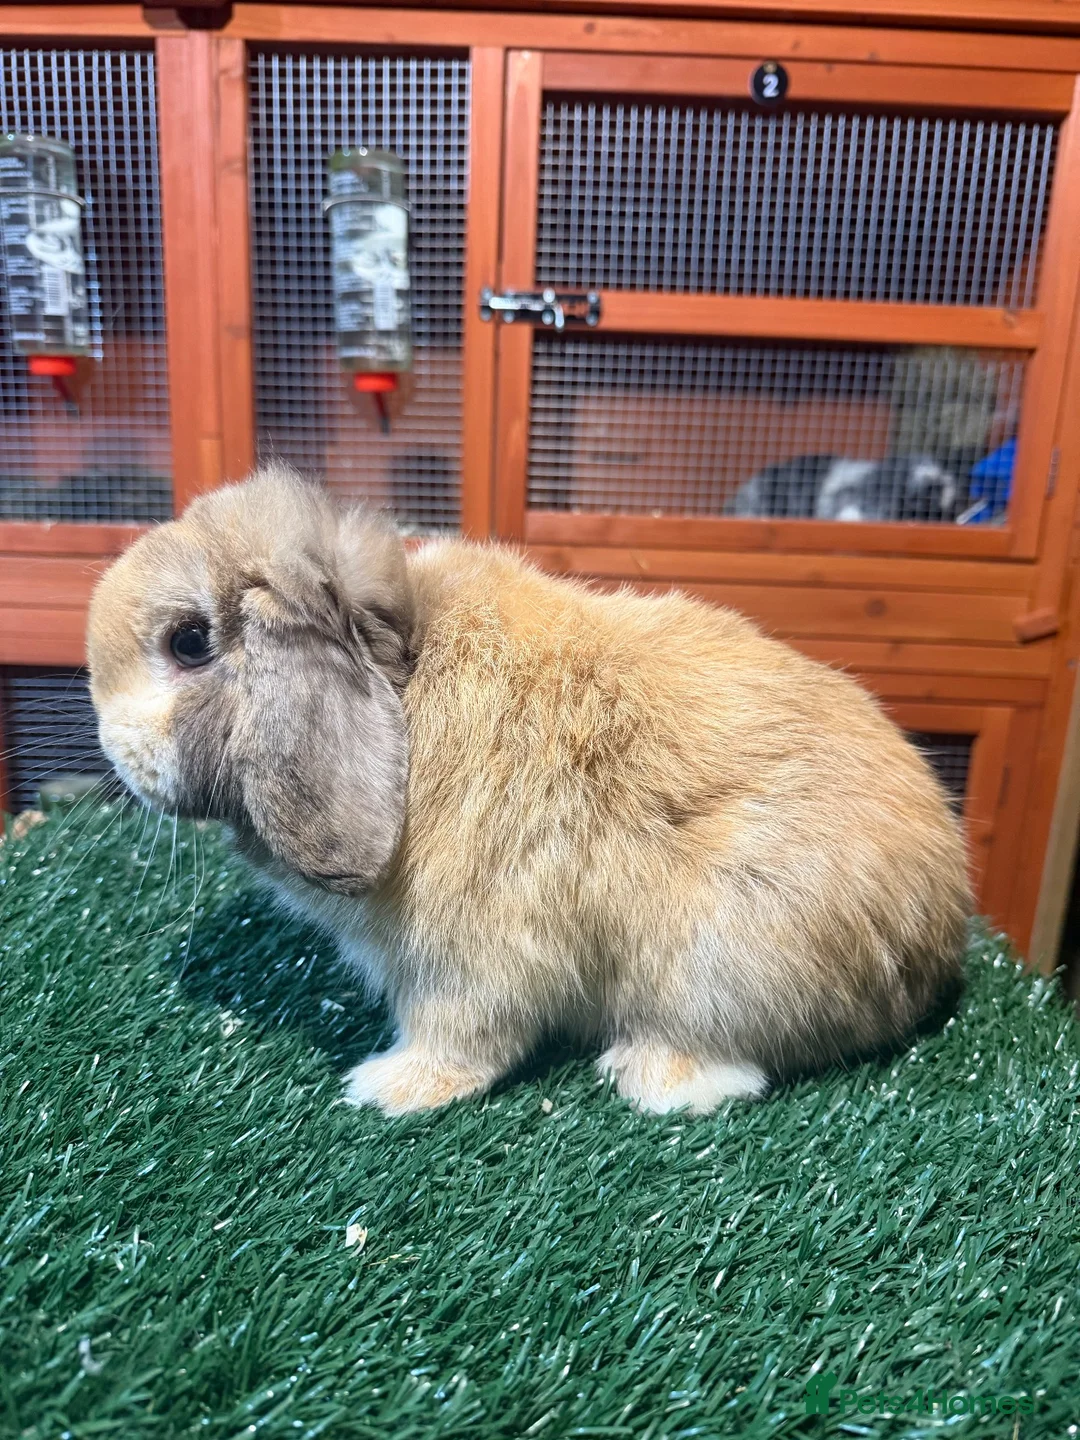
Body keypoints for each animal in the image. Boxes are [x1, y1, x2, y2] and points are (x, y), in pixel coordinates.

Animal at [87, 463, 970, 1117]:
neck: (406, 673)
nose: (111, 745)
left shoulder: (467, 961)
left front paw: (386, 1090)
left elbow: (463, 1036)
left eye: (189, 643)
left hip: (719, 963)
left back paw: (649, 1076)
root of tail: (936, 935)